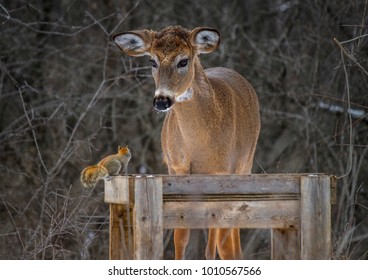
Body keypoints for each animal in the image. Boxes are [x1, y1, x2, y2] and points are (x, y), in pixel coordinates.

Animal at [113, 26, 260, 260]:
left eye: (183, 61)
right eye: (152, 61)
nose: (161, 100)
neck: (200, 145)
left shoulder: (226, 170)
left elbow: (222, 231)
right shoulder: (177, 168)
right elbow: (181, 234)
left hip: (246, 164)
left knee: (228, 233)